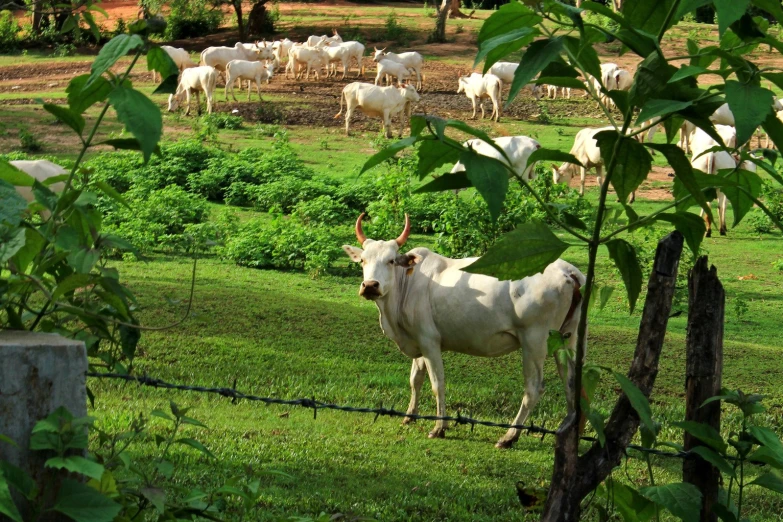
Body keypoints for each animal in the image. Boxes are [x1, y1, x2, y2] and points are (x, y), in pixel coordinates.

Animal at [344, 214, 588, 446]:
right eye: (363, 260)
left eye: (391, 261)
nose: (370, 286)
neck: (408, 284)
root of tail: (568, 270)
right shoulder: (417, 341)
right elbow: (415, 379)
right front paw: (409, 416)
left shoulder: (429, 341)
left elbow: (437, 384)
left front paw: (439, 427)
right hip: (567, 338)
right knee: (571, 382)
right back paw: (570, 430)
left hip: (534, 340)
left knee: (534, 388)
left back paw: (509, 436)